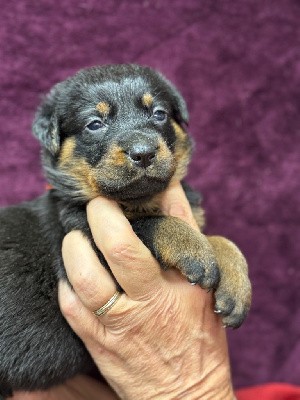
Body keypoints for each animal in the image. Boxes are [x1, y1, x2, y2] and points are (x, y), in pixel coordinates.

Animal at [0, 65, 251, 396]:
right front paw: (192, 247)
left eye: (159, 114)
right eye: (94, 124)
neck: (138, 201)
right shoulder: (82, 242)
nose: (143, 153)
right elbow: (152, 224)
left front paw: (236, 285)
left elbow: (222, 239)